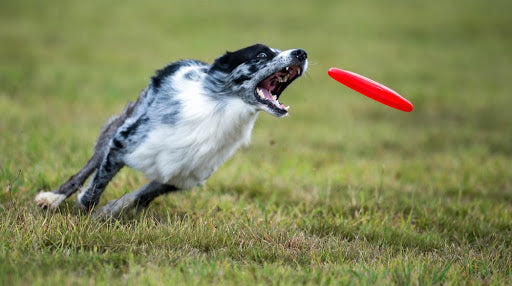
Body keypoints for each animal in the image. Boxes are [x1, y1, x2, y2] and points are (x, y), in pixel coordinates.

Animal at [37, 43, 308, 217]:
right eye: (262, 54)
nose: (302, 53)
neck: (220, 110)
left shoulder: (182, 175)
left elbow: (138, 196)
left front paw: (109, 211)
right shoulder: (122, 142)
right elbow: (96, 185)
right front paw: (85, 209)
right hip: (119, 125)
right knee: (87, 168)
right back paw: (52, 198)